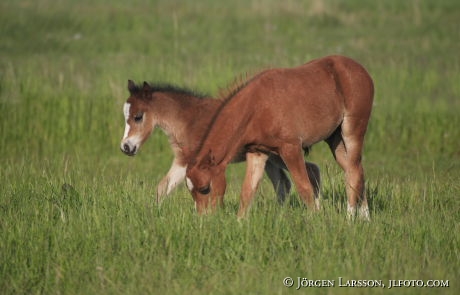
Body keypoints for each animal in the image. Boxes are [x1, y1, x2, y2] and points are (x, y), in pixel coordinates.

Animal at [118, 81, 320, 210]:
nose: (126, 147)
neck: (188, 120)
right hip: (269, 157)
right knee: (284, 184)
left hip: (279, 153)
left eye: (138, 116)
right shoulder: (182, 160)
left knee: (310, 171)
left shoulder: (193, 161)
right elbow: (162, 188)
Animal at [187, 56, 374, 221]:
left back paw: (350, 219)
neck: (257, 106)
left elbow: (304, 187)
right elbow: (247, 191)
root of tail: (362, 70)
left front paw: (315, 222)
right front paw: (239, 224)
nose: (204, 219)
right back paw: (365, 218)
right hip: (335, 140)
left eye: (205, 188)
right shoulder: (257, 152)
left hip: (352, 131)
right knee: (356, 170)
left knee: (354, 172)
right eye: (191, 191)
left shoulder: (291, 148)